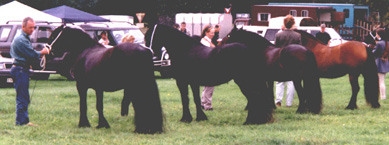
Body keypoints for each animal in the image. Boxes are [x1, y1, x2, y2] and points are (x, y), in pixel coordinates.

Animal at [144, 23, 274, 124]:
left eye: (151, 36)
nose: (151, 52)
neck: (185, 50)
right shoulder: (193, 83)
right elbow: (196, 99)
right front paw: (200, 117)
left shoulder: (182, 82)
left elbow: (185, 99)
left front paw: (186, 119)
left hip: (244, 81)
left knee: (254, 97)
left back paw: (250, 121)